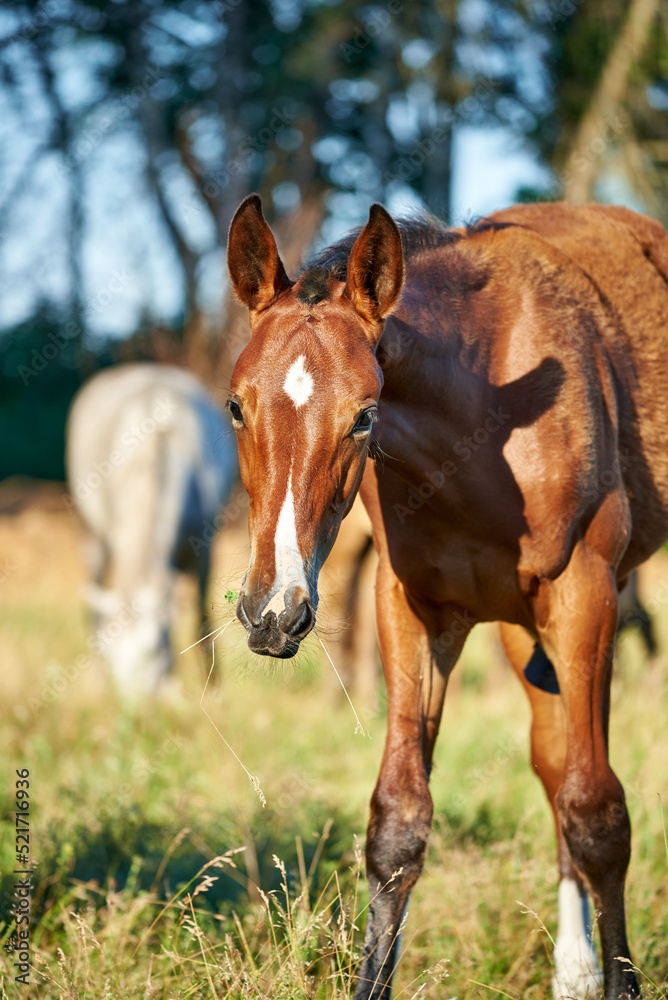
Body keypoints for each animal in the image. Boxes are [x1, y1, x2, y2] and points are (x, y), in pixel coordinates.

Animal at [66, 363, 238, 693]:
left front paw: (213, 689)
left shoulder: (205, 550)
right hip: (93, 533)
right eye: (114, 657)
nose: (138, 705)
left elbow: (200, 620)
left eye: (155, 647)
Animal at [225, 193, 668, 999]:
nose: (274, 613)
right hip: (525, 632)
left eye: (364, 415)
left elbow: (599, 815)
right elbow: (399, 822)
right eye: (237, 407)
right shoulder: (412, 608)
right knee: (552, 759)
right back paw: (574, 969)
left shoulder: (584, 590)